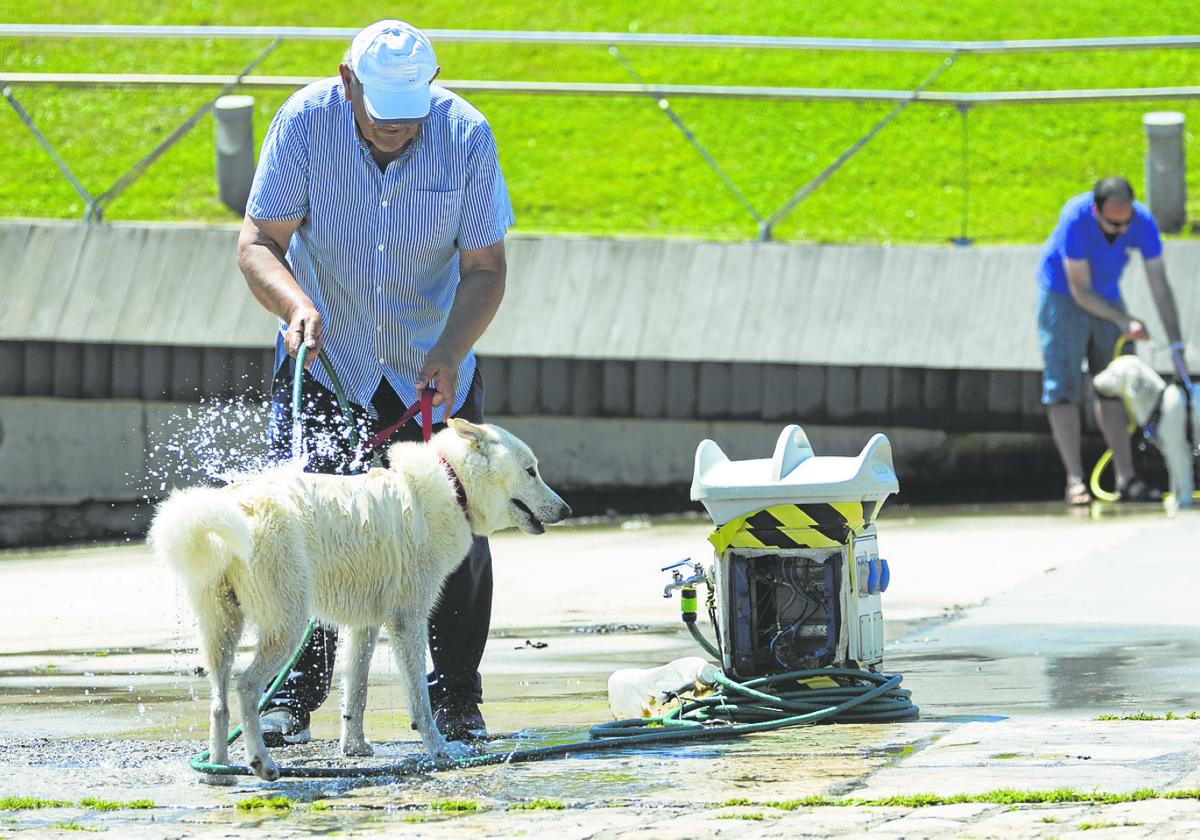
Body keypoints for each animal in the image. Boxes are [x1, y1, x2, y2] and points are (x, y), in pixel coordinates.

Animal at [147, 420, 568, 782]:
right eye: (531, 471)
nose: (567, 510)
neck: (453, 484)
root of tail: (233, 508)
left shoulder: (364, 624)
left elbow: (356, 693)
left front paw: (355, 749)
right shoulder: (407, 620)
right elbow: (419, 700)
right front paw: (440, 751)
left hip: (221, 630)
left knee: (218, 701)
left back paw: (218, 770)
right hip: (287, 625)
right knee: (246, 688)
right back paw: (260, 763)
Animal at [1094, 355, 1195, 511]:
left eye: (1113, 374)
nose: (1094, 383)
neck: (1158, 402)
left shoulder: (1178, 448)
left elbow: (1182, 476)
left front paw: (1182, 501)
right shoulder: (1169, 451)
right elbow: (1174, 477)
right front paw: (1174, 500)